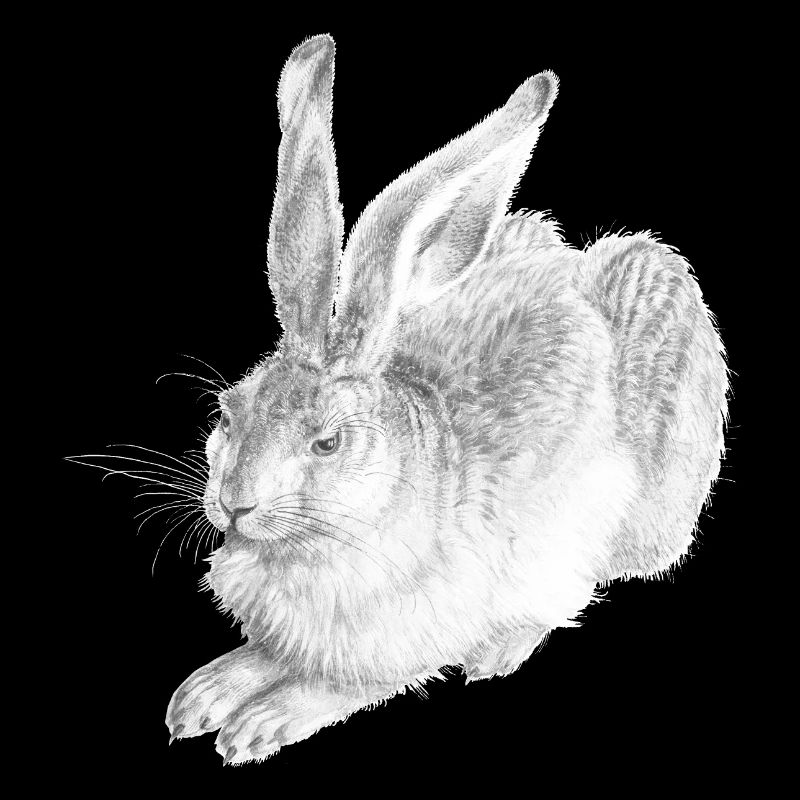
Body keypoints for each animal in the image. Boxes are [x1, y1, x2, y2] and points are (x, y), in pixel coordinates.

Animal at [164, 34, 728, 764]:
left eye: (328, 442)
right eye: (228, 414)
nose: (234, 504)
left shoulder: (411, 633)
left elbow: (343, 682)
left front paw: (260, 721)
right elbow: (264, 655)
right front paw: (204, 694)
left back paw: (500, 650)